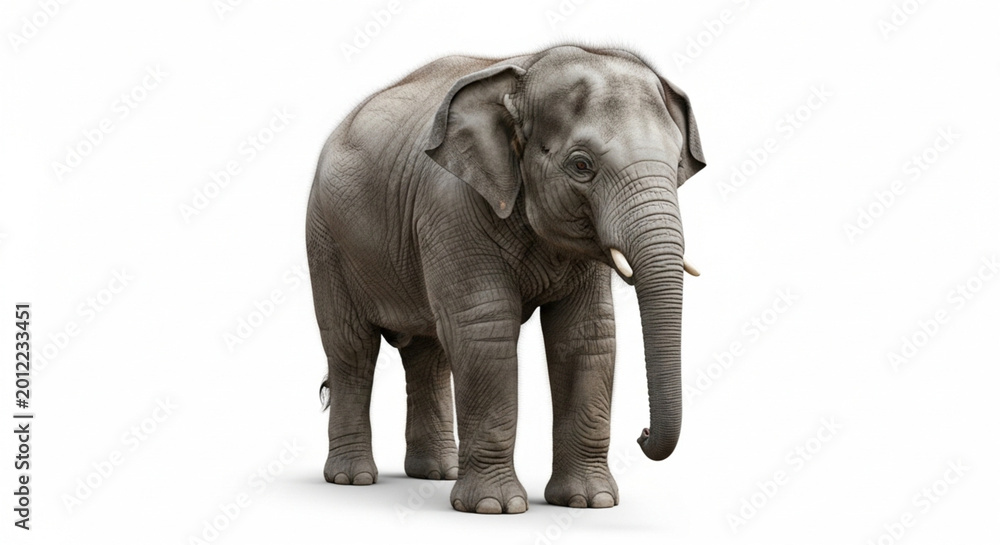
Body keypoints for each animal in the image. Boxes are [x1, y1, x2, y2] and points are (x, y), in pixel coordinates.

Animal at [306, 44, 706, 514]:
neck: (525, 73)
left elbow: (585, 335)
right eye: (581, 165)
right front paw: (494, 508)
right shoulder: (451, 205)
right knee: (352, 348)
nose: (642, 435)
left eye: (676, 163)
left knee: (428, 353)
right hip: (326, 239)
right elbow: (484, 329)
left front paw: (589, 502)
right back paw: (352, 479)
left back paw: (437, 474)